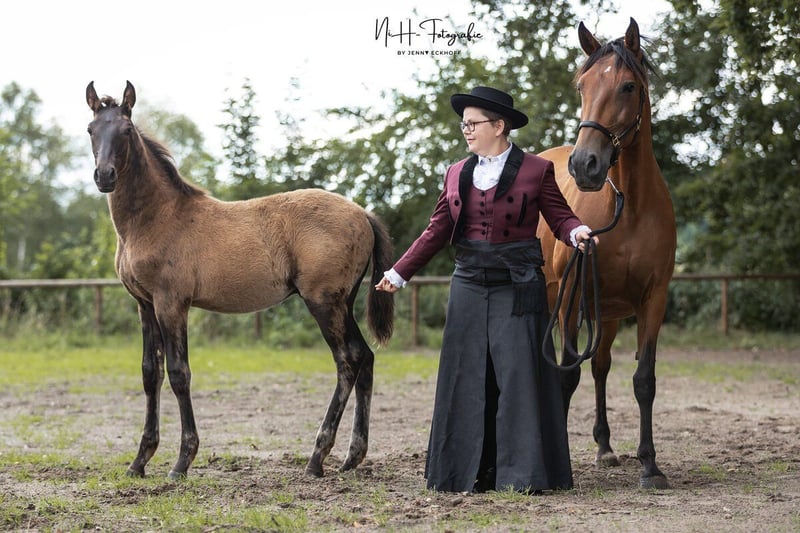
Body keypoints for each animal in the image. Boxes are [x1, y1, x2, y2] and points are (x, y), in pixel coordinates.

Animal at [85, 81, 394, 479]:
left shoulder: (172, 303)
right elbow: (149, 373)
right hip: (343, 301)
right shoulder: (144, 304)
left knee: (347, 361)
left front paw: (182, 462)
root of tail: (363, 213)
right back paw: (352, 456)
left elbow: (179, 373)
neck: (156, 218)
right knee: (365, 358)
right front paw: (139, 462)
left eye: (125, 130)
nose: (104, 176)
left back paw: (316, 459)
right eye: (91, 130)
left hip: (323, 302)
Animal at [537, 18, 676, 489]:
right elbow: (566, 374)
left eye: (629, 86)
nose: (585, 165)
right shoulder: (571, 295)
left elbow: (644, 379)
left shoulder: (653, 298)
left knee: (599, 366)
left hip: (608, 313)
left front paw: (650, 465)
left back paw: (604, 447)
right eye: (582, 85)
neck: (628, 207)